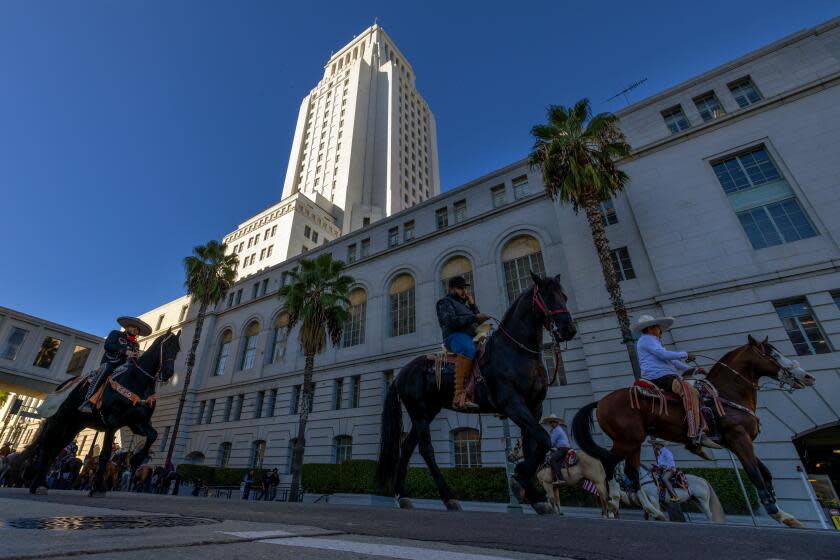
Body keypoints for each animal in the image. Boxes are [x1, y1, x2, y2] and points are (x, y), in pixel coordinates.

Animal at [25, 328, 180, 494]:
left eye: (177, 349)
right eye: (167, 346)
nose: (168, 373)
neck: (137, 381)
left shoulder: (138, 424)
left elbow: (153, 435)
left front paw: (136, 460)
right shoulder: (112, 421)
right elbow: (104, 454)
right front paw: (98, 486)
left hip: (72, 426)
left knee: (55, 450)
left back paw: (41, 482)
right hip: (57, 421)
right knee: (45, 447)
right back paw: (35, 483)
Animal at [376, 274, 576, 516]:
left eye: (564, 296)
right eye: (547, 296)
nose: (568, 329)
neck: (516, 351)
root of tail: (400, 373)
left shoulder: (534, 408)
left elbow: (533, 445)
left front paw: (533, 494)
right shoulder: (512, 404)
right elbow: (544, 438)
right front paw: (520, 476)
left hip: (427, 412)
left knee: (406, 447)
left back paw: (403, 495)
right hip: (420, 413)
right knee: (426, 449)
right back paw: (449, 497)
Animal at [572, 334, 812, 528]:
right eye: (772, 354)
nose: (807, 376)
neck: (727, 394)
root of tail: (601, 401)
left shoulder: (739, 442)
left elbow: (766, 473)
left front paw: (785, 514)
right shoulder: (738, 438)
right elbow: (755, 474)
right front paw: (774, 511)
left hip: (633, 441)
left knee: (630, 471)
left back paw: (651, 510)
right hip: (627, 441)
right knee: (609, 463)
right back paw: (614, 499)